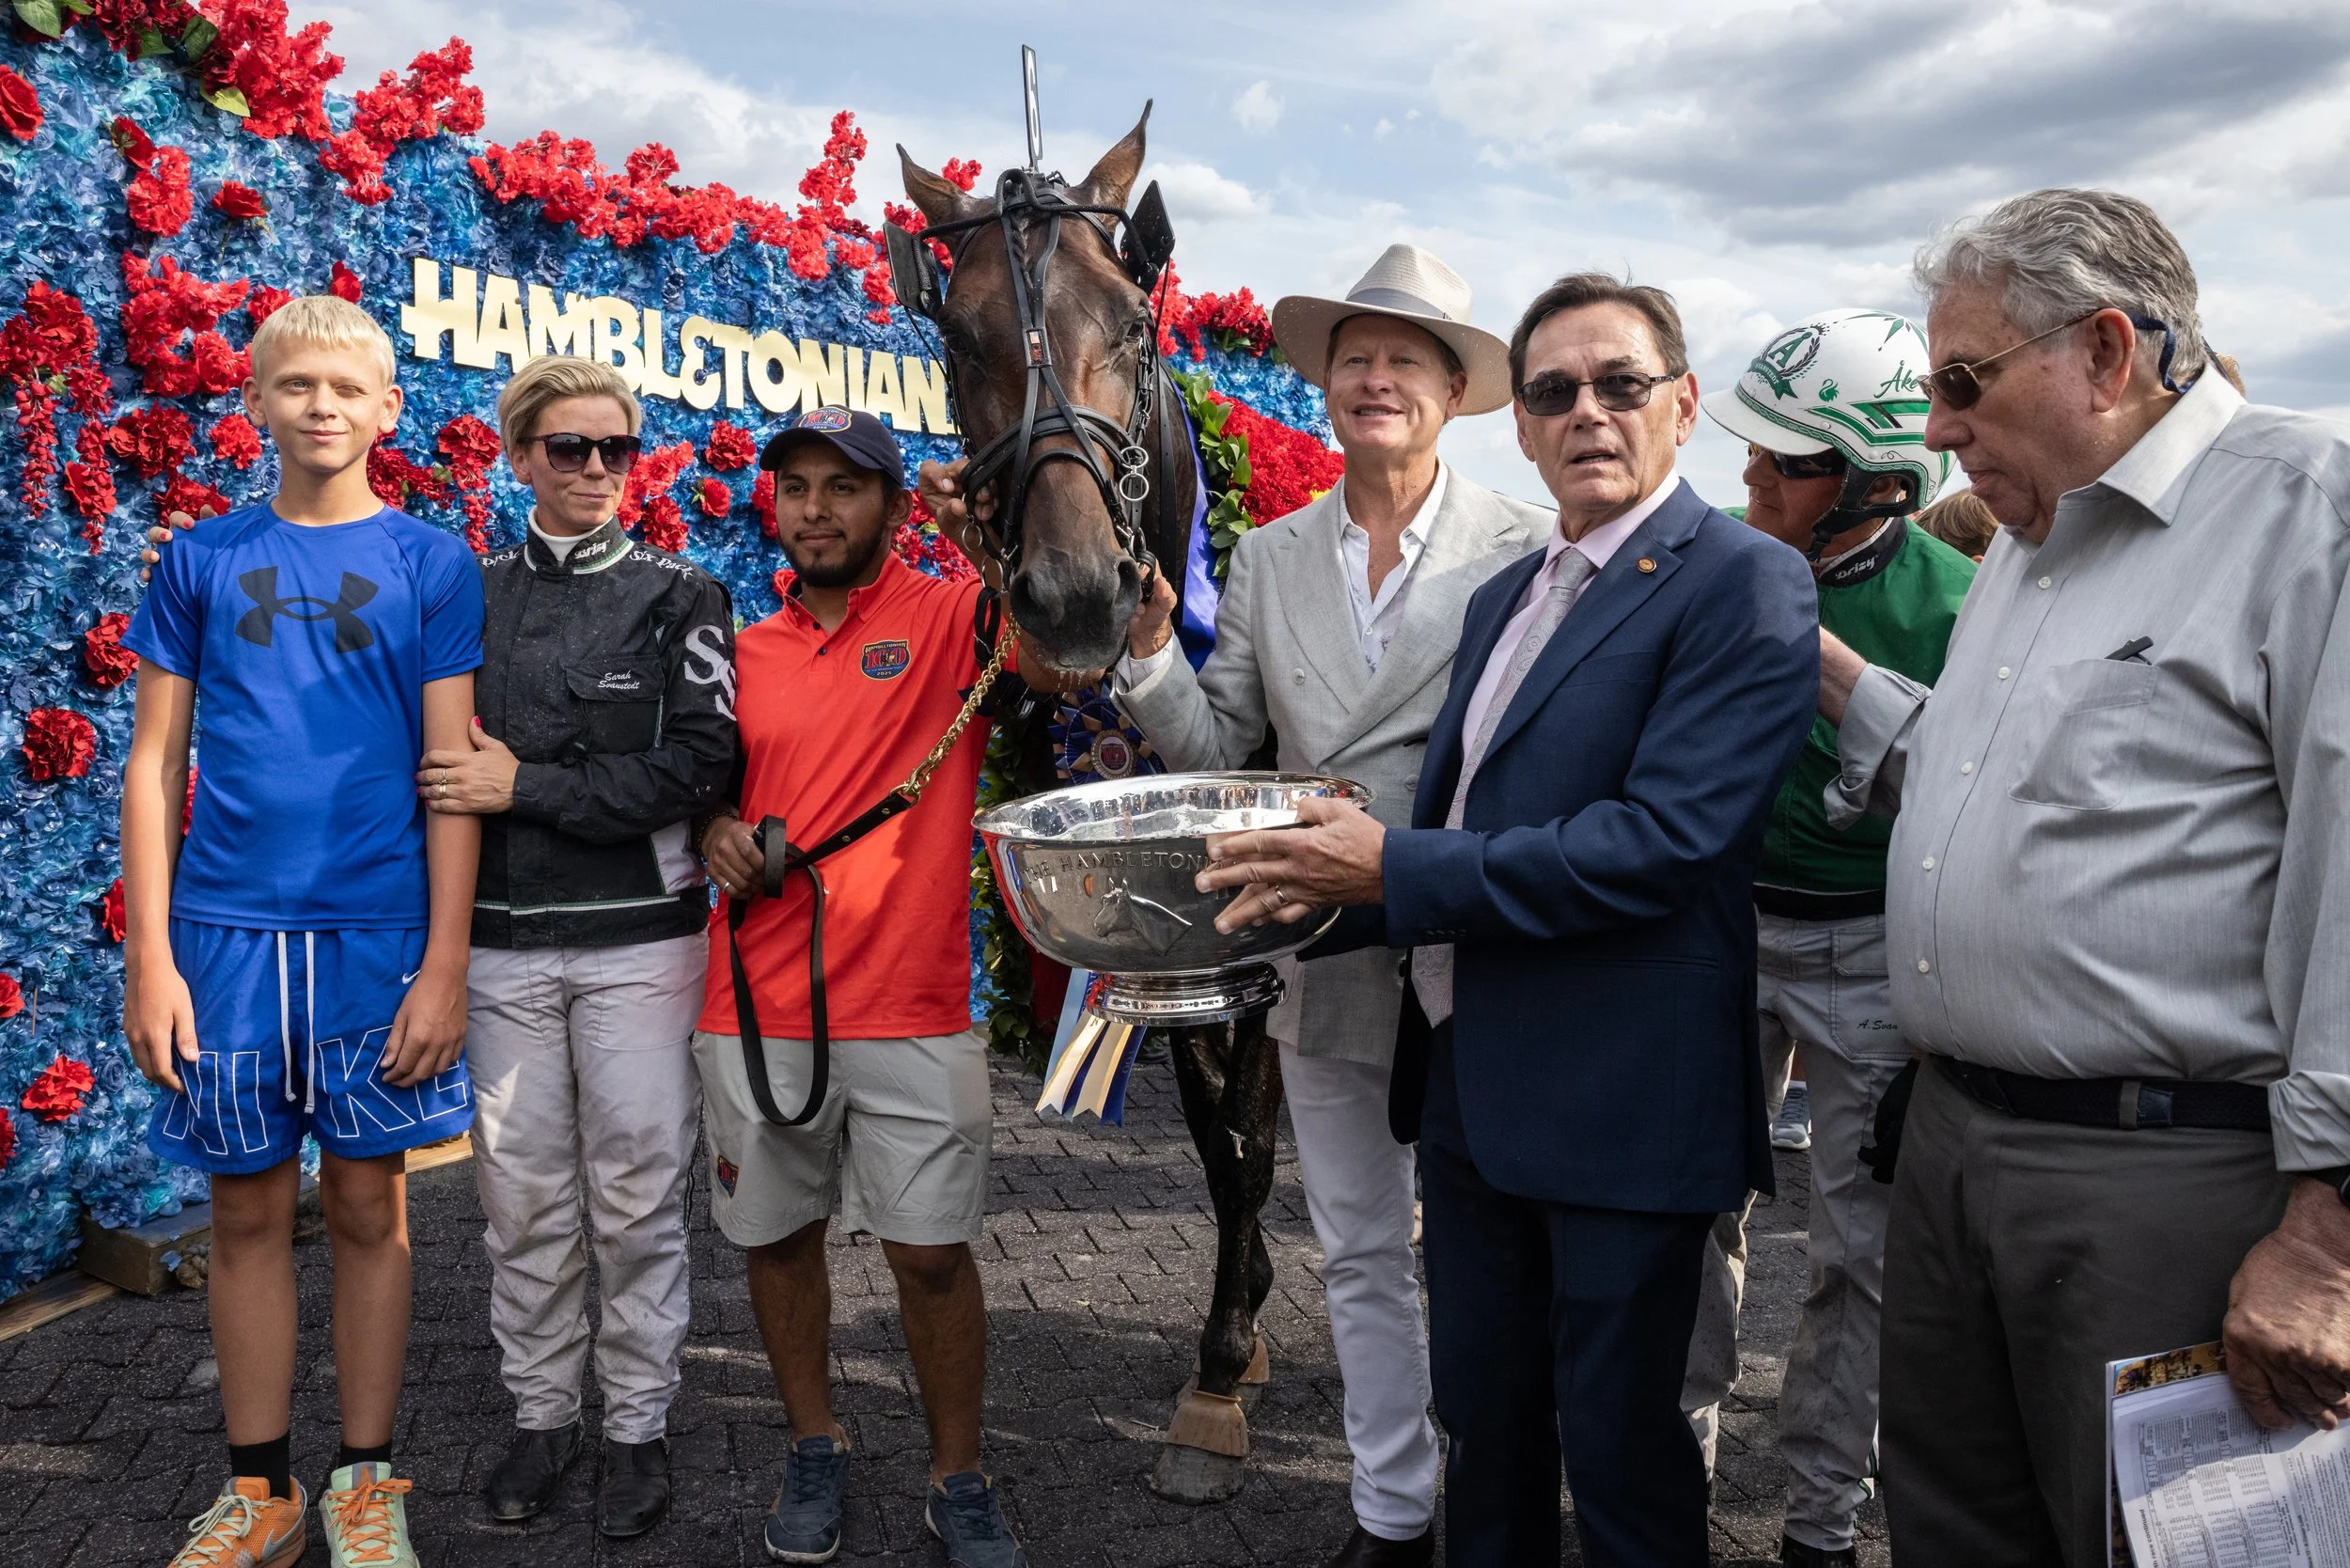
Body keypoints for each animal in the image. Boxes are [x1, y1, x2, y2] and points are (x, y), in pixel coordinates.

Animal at [896, 113, 1290, 1503]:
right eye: (957, 335)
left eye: (1128, 320)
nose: (1071, 601)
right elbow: (1212, 1119)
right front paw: (1244, 1330)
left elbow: (1246, 1123)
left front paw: (1224, 1357)